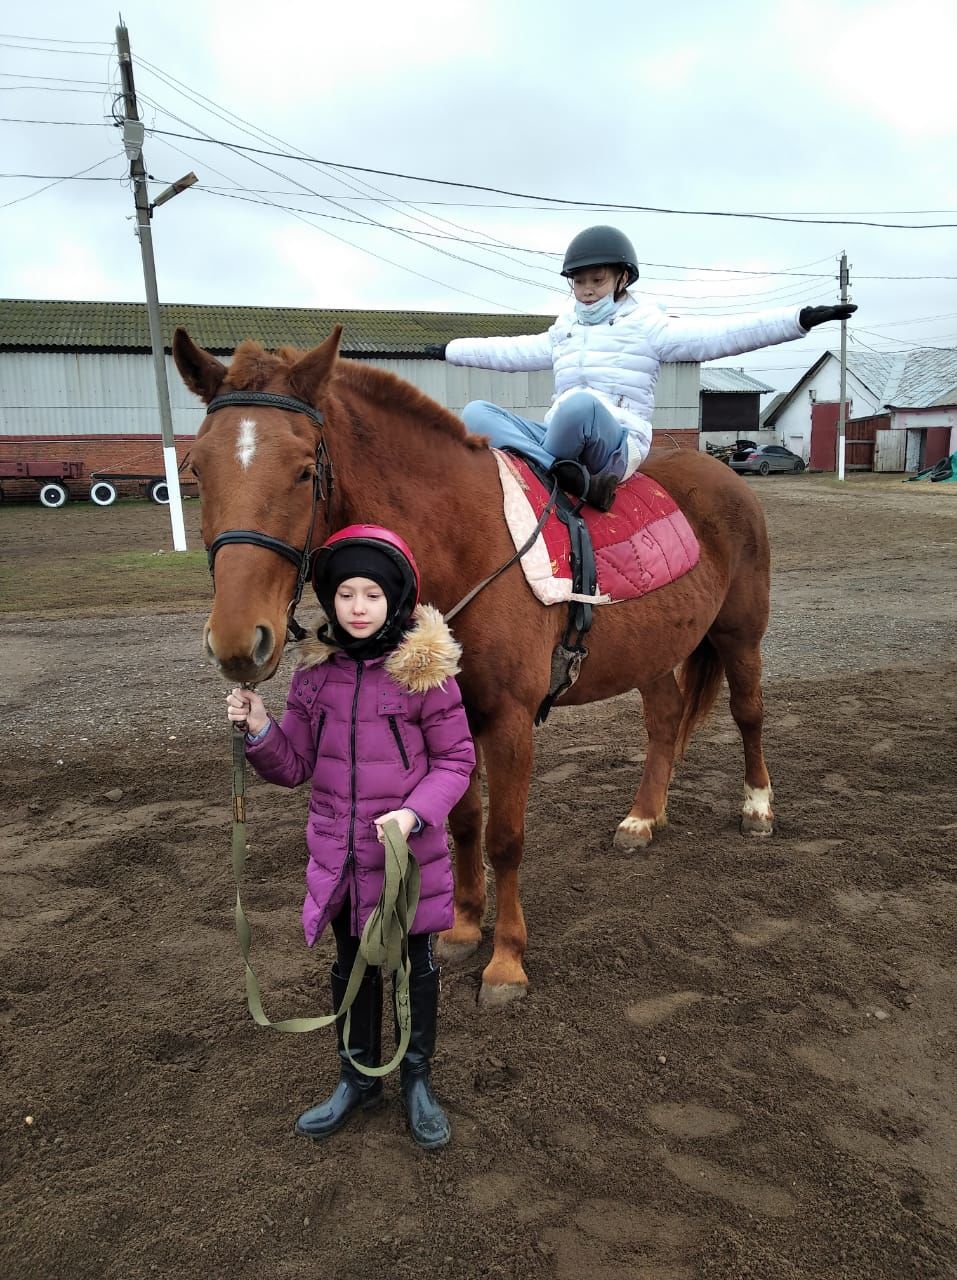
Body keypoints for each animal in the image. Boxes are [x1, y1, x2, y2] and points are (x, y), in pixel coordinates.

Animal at [175, 325, 777, 1003]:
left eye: (306, 472)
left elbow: (505, 837)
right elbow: (461, 822)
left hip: (740, 635)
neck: (464, 540)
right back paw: (643, 818)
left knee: (748, 713)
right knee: (665, 721)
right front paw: (463, 928)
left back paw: (757, 807)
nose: (236, 641)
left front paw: (507, 960)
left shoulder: (510, 720)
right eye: (196, 469)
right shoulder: (453, 712)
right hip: (654, 651)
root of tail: (722, 474)